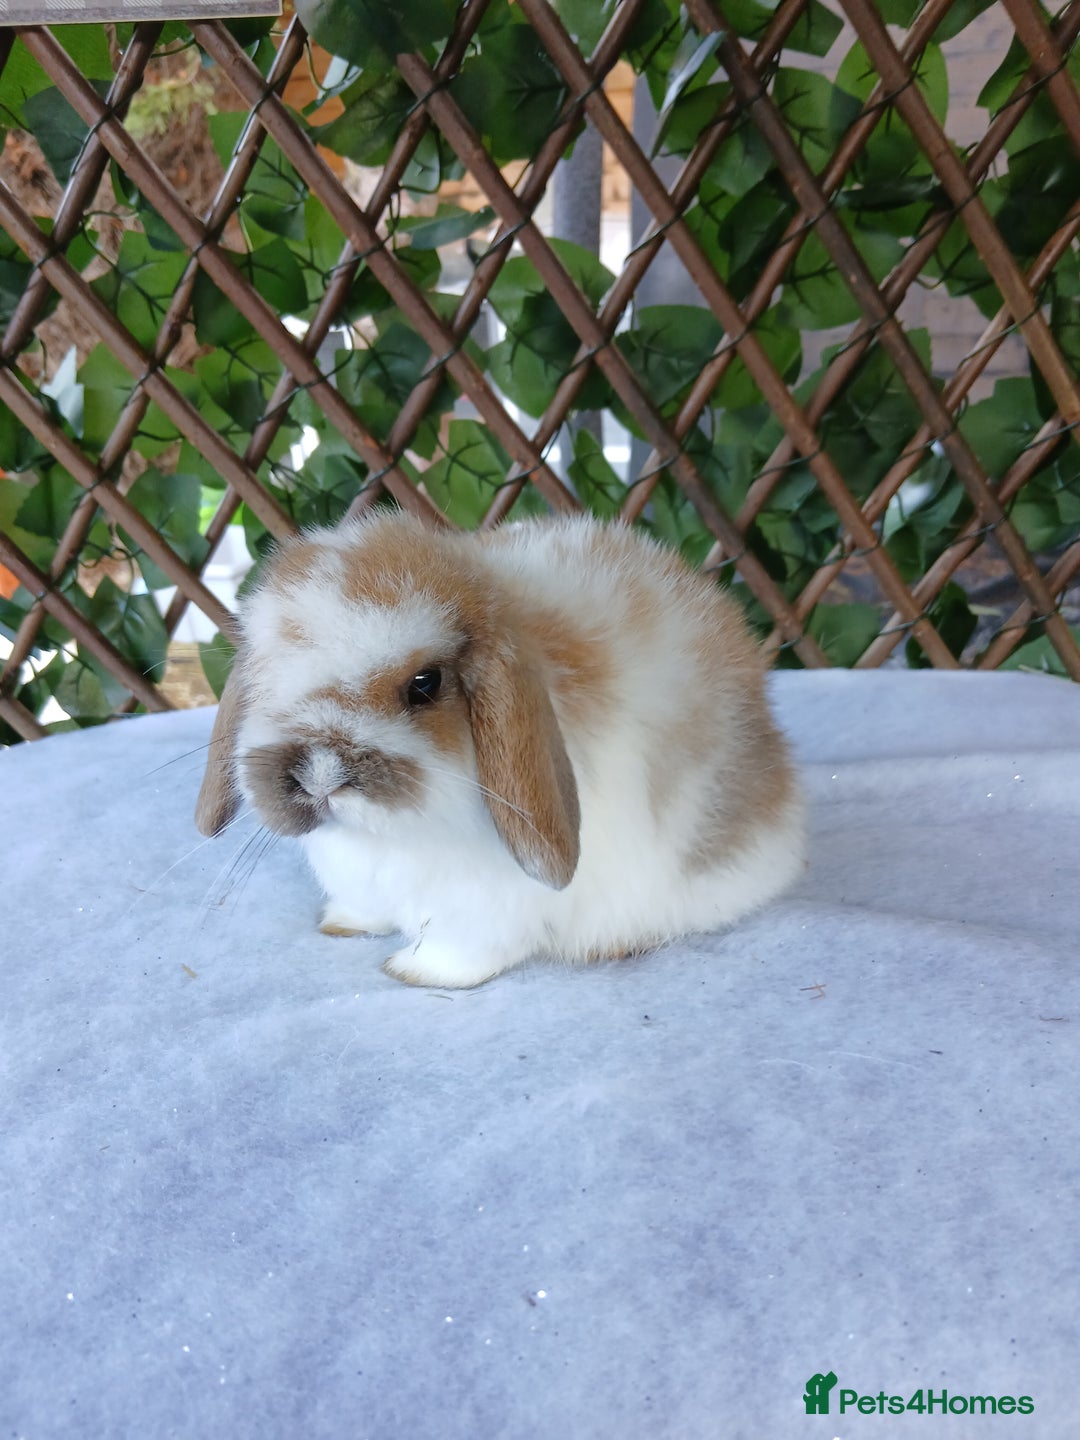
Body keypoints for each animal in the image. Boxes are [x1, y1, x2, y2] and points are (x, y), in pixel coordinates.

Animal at [195, 509, 804, 988]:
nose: (320, 776)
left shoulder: (481, 913)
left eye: (425, 684)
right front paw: (342, 924)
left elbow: (460, 952)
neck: (386, 841)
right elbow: (364, 910)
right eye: (264, 677)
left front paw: (415, 972)